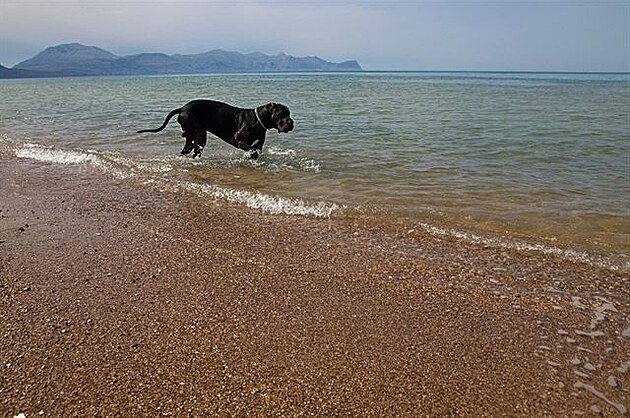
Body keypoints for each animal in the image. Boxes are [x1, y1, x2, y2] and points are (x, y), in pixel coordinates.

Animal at [137, 100, 296, 159]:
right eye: (281, 114)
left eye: (289, 113)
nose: (291, 122)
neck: (259, 120)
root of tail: (182, 108)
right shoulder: (236, 138)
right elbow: (249, 148)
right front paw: (250, 154)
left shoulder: (259, 145)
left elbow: (256, 151)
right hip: (200, 135)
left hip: (191, 137)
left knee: (187, 150)